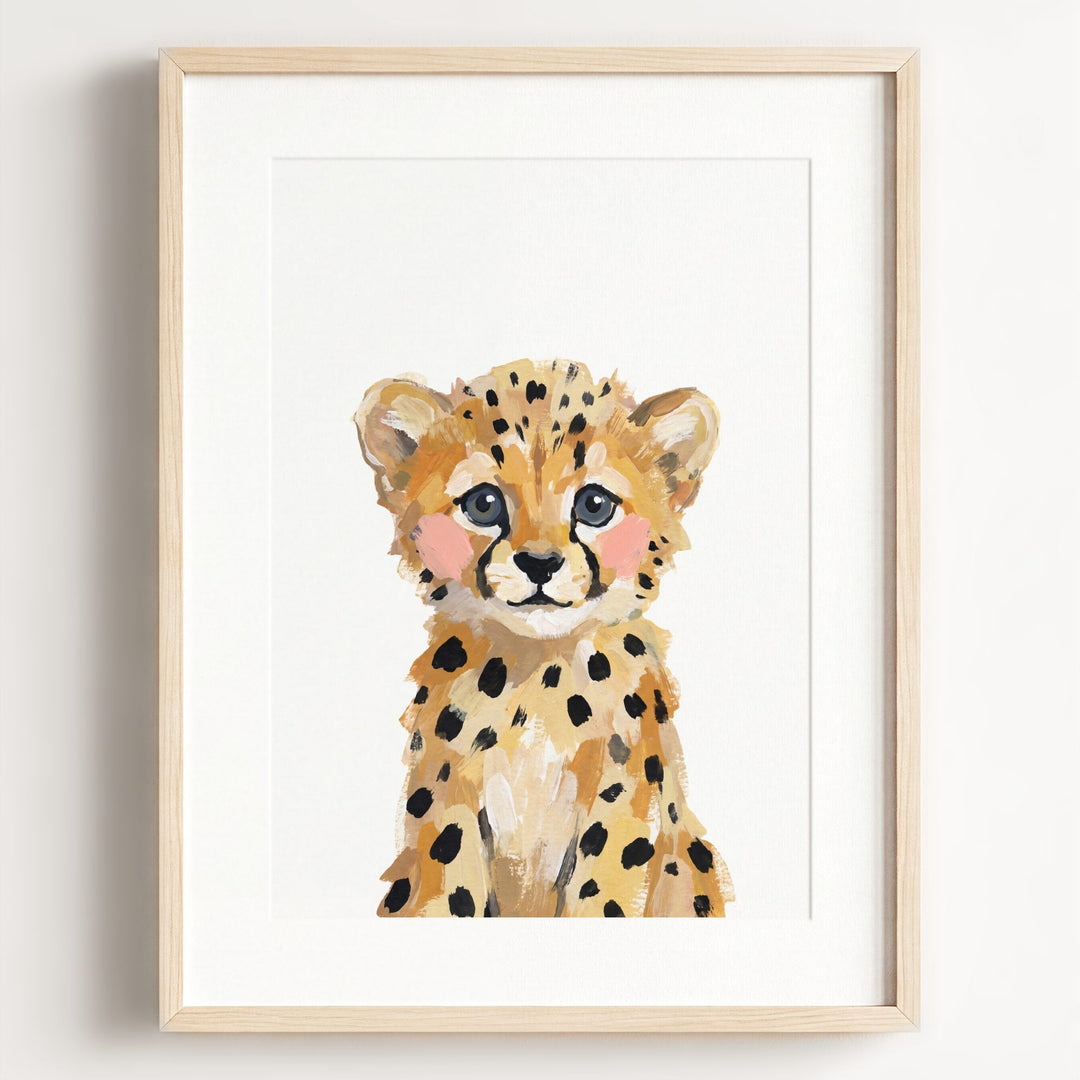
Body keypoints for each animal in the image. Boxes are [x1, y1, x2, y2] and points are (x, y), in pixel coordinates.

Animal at [353, 359, 734, 917]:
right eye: (483, 504)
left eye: (594, 505)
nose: (539, 563)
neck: (538, 674)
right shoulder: (448, 799)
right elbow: (450, 884)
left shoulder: (620, 804)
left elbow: (603, 894)